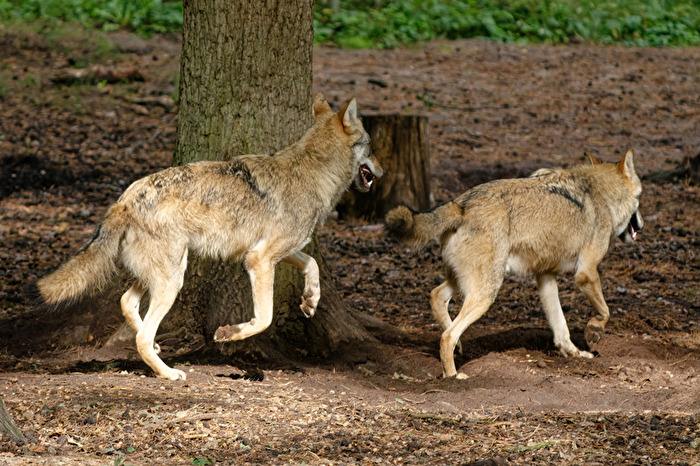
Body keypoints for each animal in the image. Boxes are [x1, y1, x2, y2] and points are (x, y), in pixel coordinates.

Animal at [35, 94, 384, 381]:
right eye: (371, 146)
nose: (381, 171)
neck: (313, 171)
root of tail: (126, 198)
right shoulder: (259, 259)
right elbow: (264, 317)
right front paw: (230, 333)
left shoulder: (272, 253)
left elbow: (312, 263)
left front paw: (310, 300)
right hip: (173, 279)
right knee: (141, 337)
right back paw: (169, 373)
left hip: (162, 274)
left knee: (127, 304)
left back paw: (159, 350)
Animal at [385, 149, 643, 379]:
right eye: (640, 199)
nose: (641, 225)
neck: (600, 194)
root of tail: (461, 204)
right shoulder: (586, 274)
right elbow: (605, 311)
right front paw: (594, 331)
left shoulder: (545, 277)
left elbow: (560, 326)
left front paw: (574, 353)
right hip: (486, 294)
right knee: (447, 335)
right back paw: (453, 376)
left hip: (466, 283)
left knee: (436, 297)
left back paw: (458, 349)